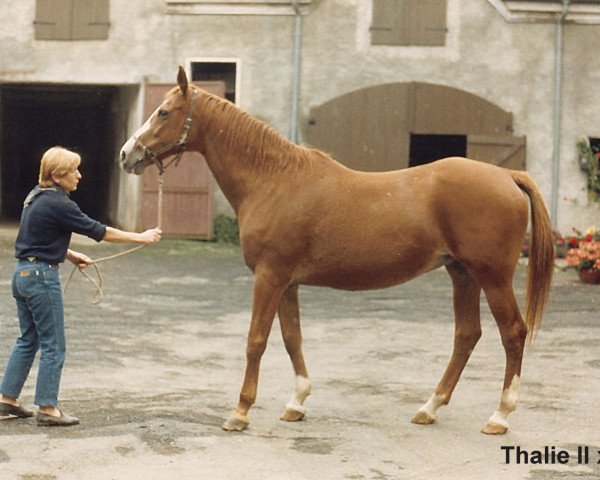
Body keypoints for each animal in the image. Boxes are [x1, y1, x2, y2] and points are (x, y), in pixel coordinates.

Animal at [119, 67, 556, 436]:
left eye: (163, 111)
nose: (127, 154)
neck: (274, 180)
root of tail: (507, 174)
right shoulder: (287, 282)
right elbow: (292, 338)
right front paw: (296, 403)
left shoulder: (269, 276)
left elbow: (256, 340)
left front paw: (240, 412)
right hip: (461, 273)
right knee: (467, 335)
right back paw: (429, 408)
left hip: (492, 276)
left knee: (512, 334)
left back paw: (499, 415)